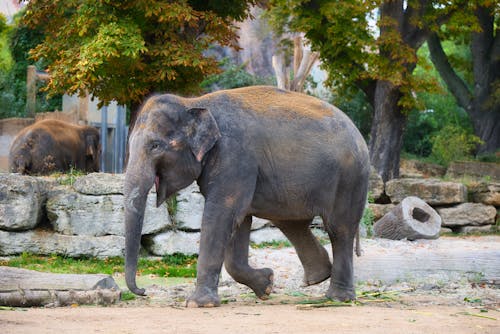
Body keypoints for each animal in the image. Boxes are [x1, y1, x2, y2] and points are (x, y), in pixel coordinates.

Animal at [123, 86, 370, 308]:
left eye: (155, 146)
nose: (143, 291)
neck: (193, 102)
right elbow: (239, 221)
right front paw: (267, 285)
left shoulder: (234, 157)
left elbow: (221, 215)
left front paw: (197, 304)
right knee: (291, 224)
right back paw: (317, 278)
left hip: (350, 178)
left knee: (339, 229)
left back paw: (337, 298)